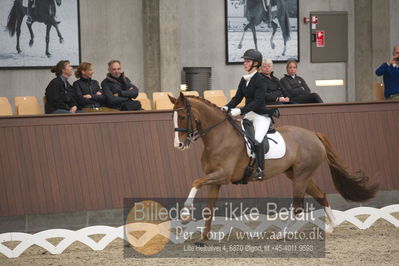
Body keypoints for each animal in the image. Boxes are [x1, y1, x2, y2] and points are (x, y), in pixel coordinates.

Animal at [169, 93, 378, 239]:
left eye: (182, 116)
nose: (178, 145)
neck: (218, 136)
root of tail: (313, 134)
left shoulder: (223, 175)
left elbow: (195, 182)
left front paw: (185, 213)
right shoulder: (215, 180)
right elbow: (208, 208)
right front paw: (204, 238)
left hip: (301, 176)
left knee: (298, 207)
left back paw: (281, 234)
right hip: (297, 175)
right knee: (321, 195)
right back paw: (332, 226)